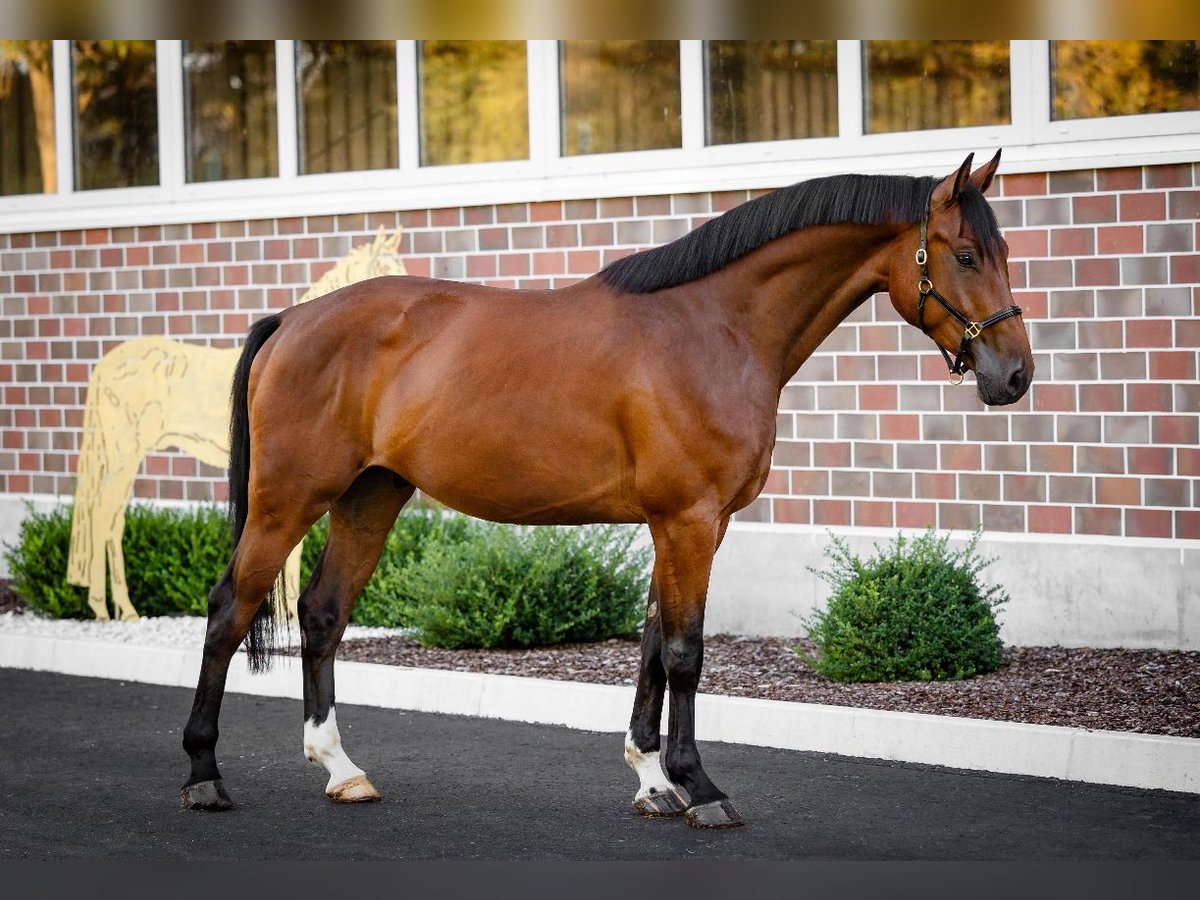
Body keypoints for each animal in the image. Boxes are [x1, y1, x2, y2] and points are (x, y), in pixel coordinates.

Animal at [66, 226, 408, 619]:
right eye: (385, 266)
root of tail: (106, 364)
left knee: (112, 522)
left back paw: (121, 607)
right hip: (124, 456)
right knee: (103, 518)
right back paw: (104, 607)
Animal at [177, 153, 1032, 830]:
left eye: (1003, 250)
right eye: (963, 254)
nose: (1014, 375)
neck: (713, 326)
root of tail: (291, 320)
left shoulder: (688, 523)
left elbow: (653, 642)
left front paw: (653, 781)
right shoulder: (688, 520)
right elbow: (684, 652)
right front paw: (701, 788)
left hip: (371, 496)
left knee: (324, 613)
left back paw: (342, 770)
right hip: (287, 500)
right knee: (229, 610)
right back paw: (203, 775)